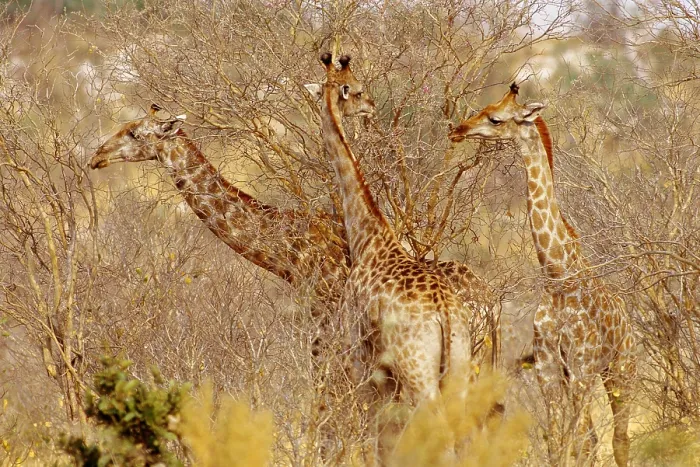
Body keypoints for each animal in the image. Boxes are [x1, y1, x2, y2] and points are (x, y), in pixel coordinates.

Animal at [306, 52, 476, 457]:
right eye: (358, 89)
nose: (370, 105)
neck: (367, 237)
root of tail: (445, 312)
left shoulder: (357, 353)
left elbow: (373, 431)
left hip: (418, 372)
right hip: (458, 368)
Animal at [448, 83, 637, 466]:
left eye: (496, 118)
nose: (458, 129)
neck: (558, 274)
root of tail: (627, 318)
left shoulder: (580, 366)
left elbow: (576, 440)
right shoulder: (548, 368)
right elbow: (559, 441)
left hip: (621, 369)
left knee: (619, 439)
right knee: (594, 437)